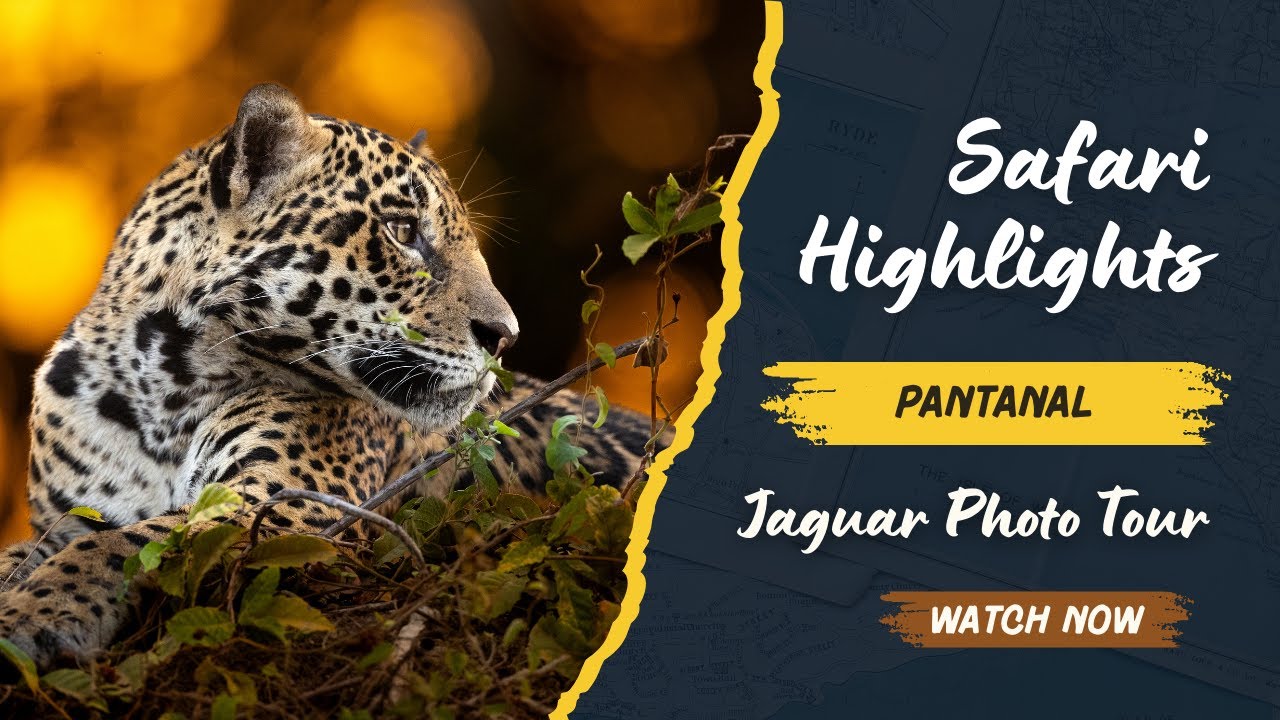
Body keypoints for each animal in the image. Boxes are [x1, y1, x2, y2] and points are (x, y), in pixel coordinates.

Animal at [0, 83, 655, 668]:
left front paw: (39, 613)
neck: (162, 381)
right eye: (403, 230)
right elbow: (42, 548)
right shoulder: (67, 517)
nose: (505, 335)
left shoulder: (287, 505)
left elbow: (126, 543)